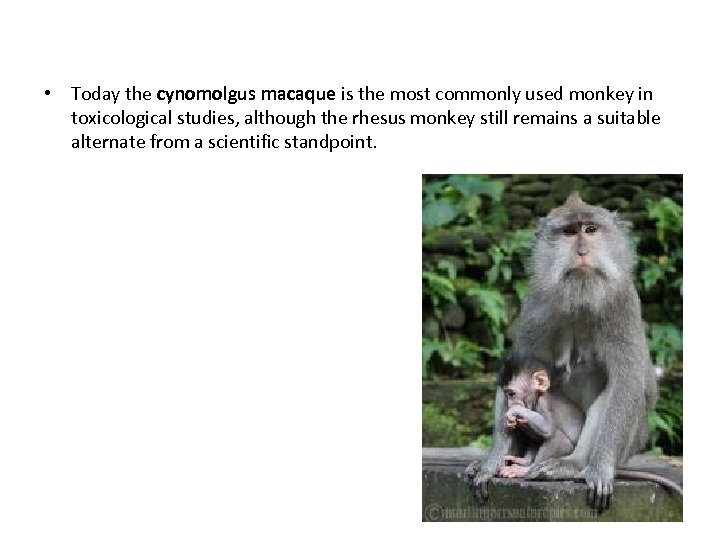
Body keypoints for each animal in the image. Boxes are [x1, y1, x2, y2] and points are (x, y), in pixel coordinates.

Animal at [466, 192, 663, 511]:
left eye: (591, 230)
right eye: (570, 232)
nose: (582, 251)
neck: (580, 295)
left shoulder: (622, 304)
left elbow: (628, 382)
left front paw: (599, 469)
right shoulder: (535, 306)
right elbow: (514, 366)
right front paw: (490, 464)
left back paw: (574, 464)